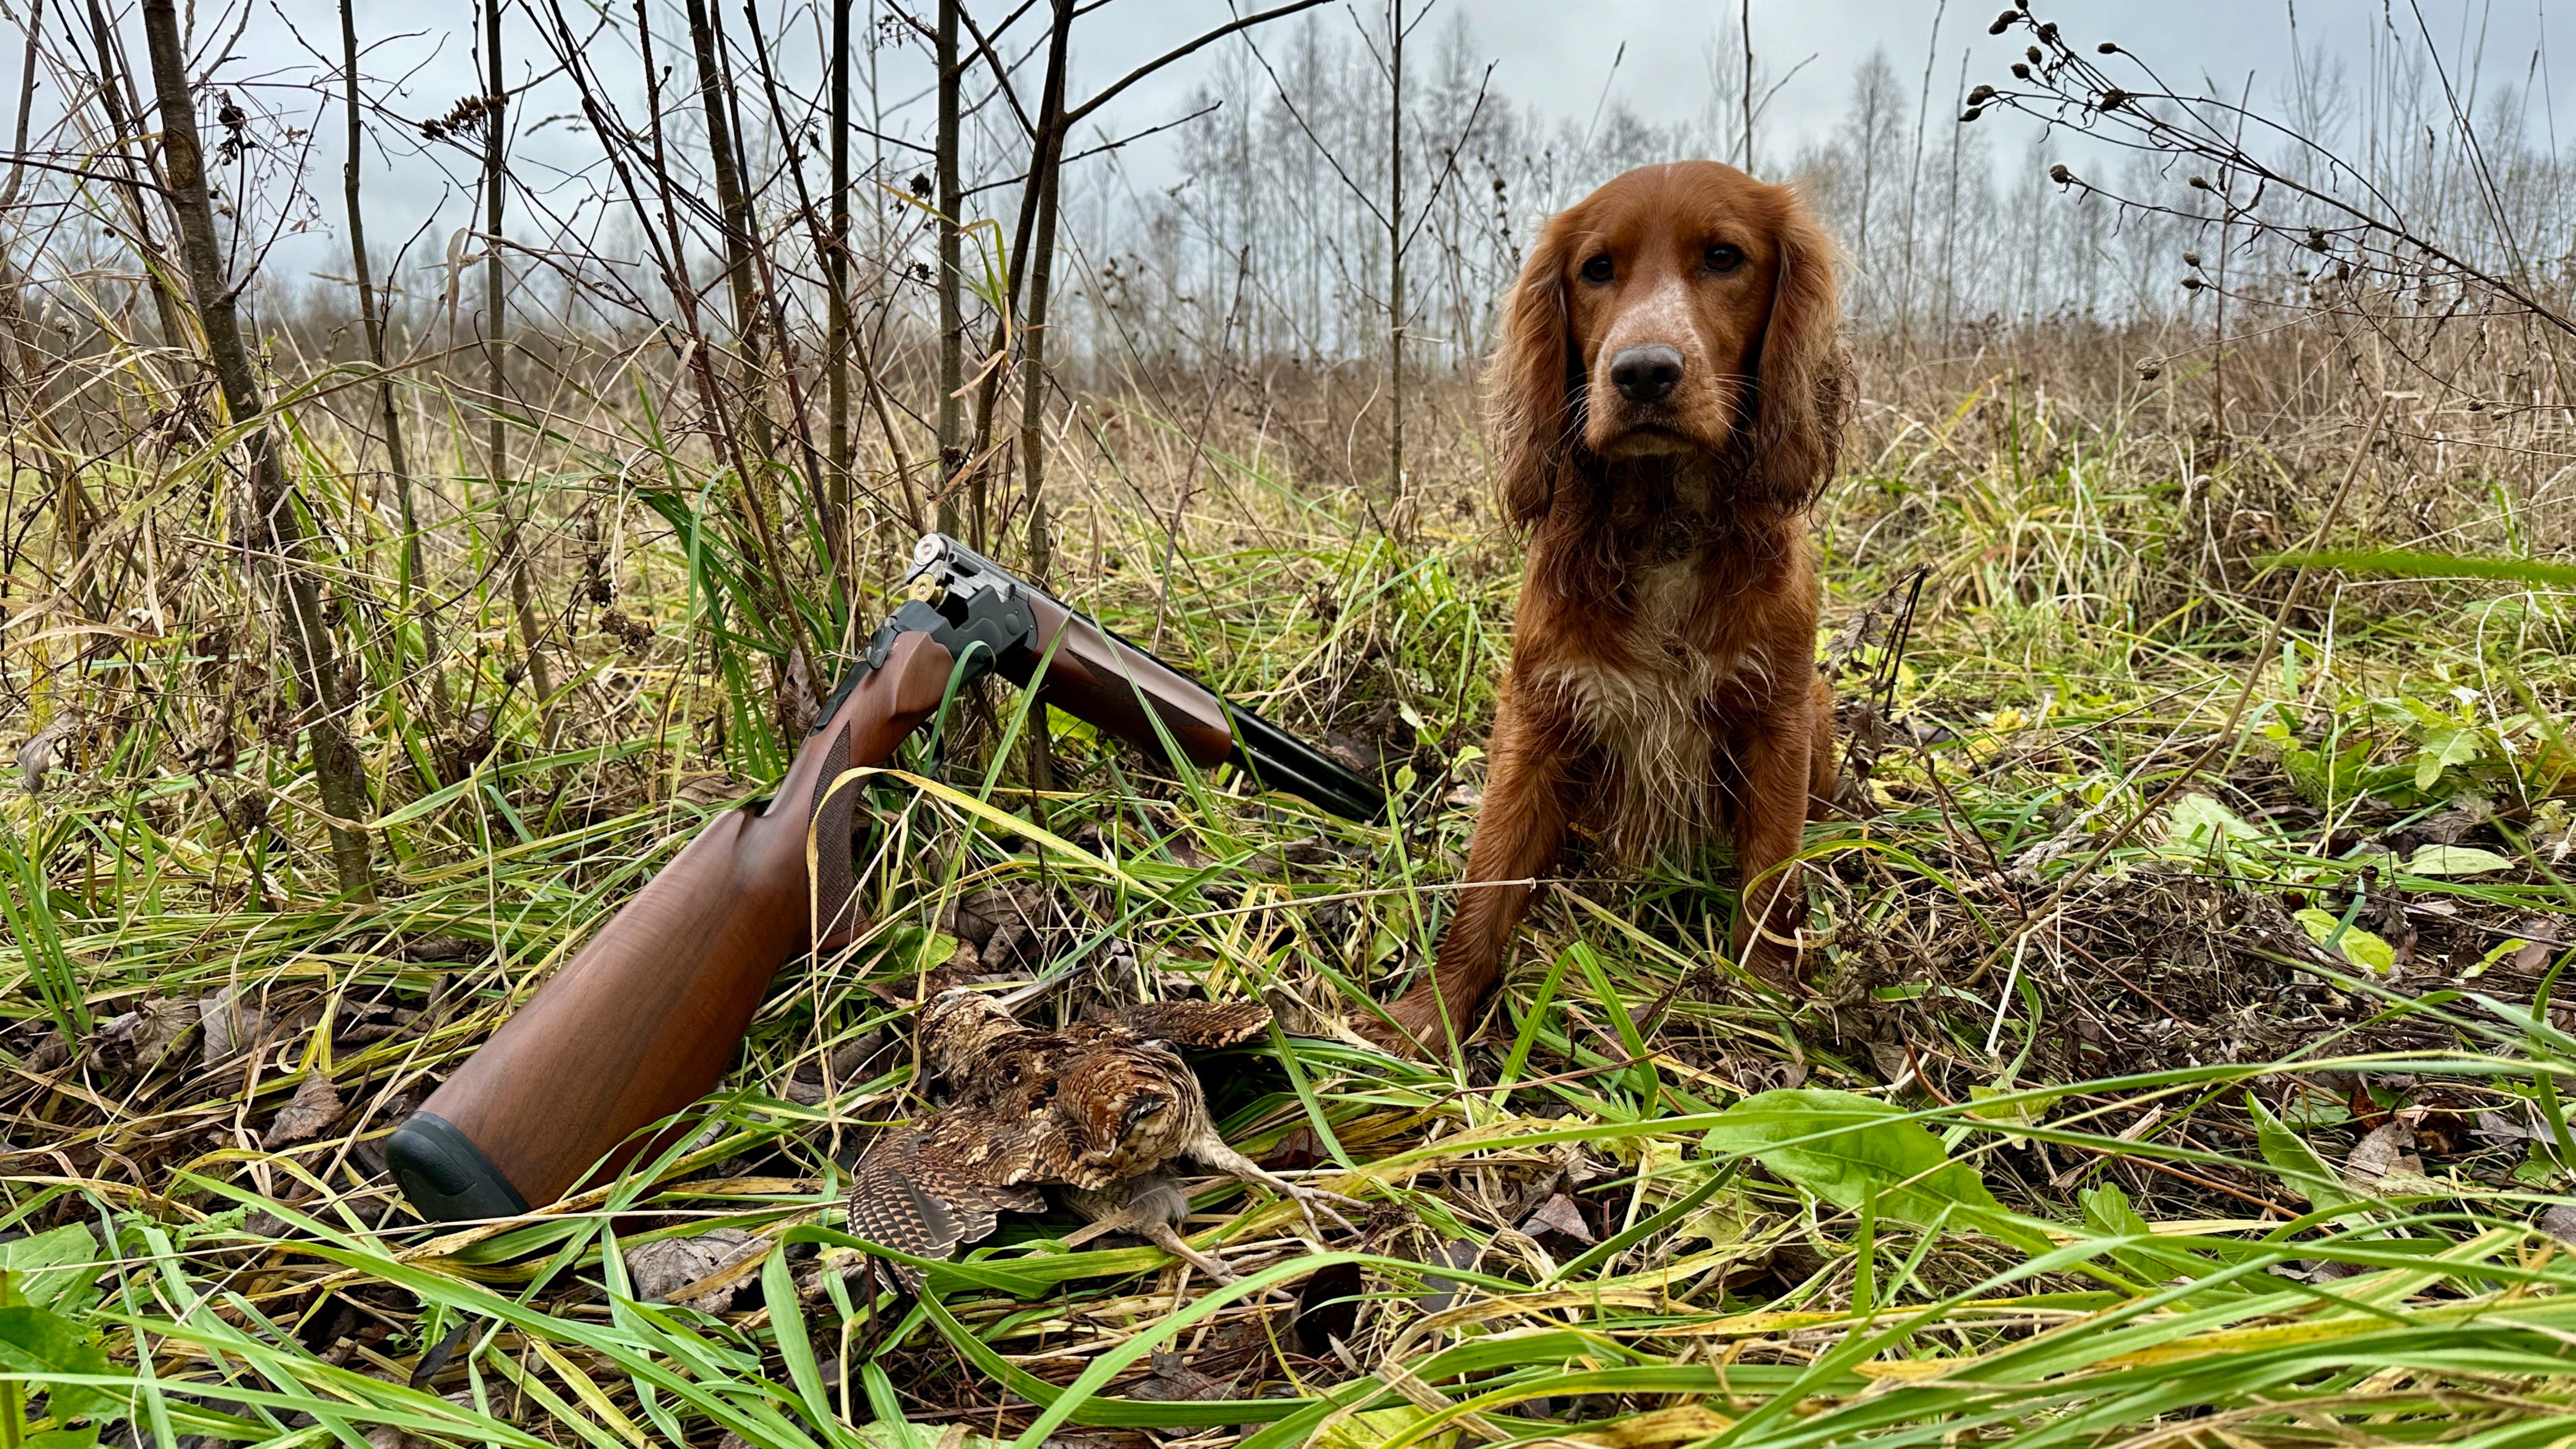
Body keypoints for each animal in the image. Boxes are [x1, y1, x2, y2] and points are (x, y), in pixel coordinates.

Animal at [1370, 160, 1855, 1046]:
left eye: (1725, 257)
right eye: (1597, 270)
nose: (1643, 372)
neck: (1664, 524)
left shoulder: (1776, 719)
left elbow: (1768, 880)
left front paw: (1762, 997)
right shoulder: (1537, 718)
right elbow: (1486, 883)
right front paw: (1427, 1015)